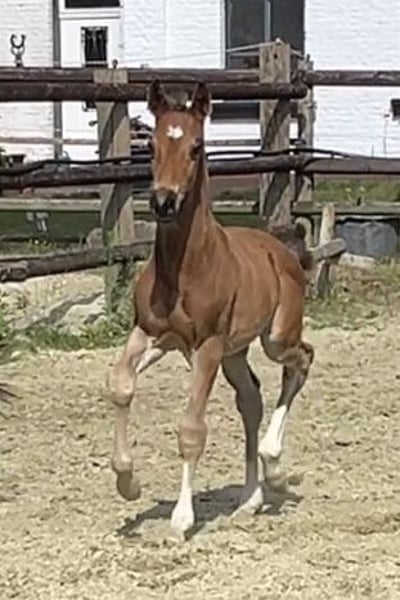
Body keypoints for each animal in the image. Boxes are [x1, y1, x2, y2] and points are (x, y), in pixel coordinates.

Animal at [107, 79, 314, 538]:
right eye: (151, 145)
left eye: (197, 146)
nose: (164, 202)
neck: (184, 268)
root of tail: (281, 250)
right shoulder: (152, 335)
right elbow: (122, 386)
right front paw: (128, 482)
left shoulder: (206, 346)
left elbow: (191, 428)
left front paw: (181, 519)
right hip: (235, 352)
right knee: (251, 399)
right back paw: (251, 499)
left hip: (273, 338)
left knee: (302, 359)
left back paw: (274, 468)